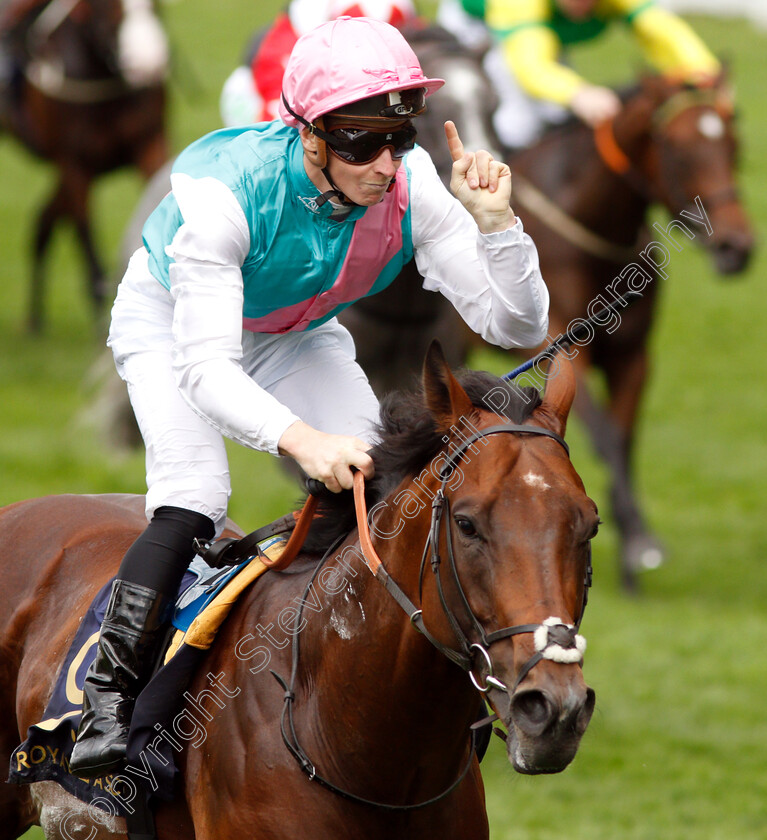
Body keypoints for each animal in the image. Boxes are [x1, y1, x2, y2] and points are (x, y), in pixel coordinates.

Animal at [0, 0, 170, 332]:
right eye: (108, 6)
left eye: (157, 6)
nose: (148, 63)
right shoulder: (74, 166)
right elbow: (87, 241)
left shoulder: (151, 146)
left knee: (43, 220)